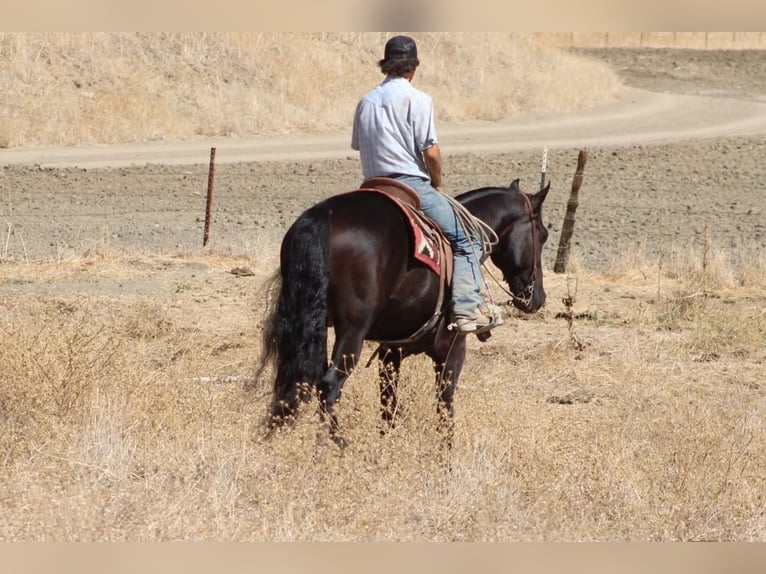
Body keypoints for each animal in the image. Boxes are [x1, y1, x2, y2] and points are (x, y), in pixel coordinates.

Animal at [256, 178, 550, 447]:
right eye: (544, 235)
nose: (538, 298)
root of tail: (325, 214)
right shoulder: (452, 350)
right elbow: (444, 408)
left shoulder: (391, 351)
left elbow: (388, 408)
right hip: (351, 330)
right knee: (329, 385)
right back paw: (335, 447)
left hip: (306, 325)